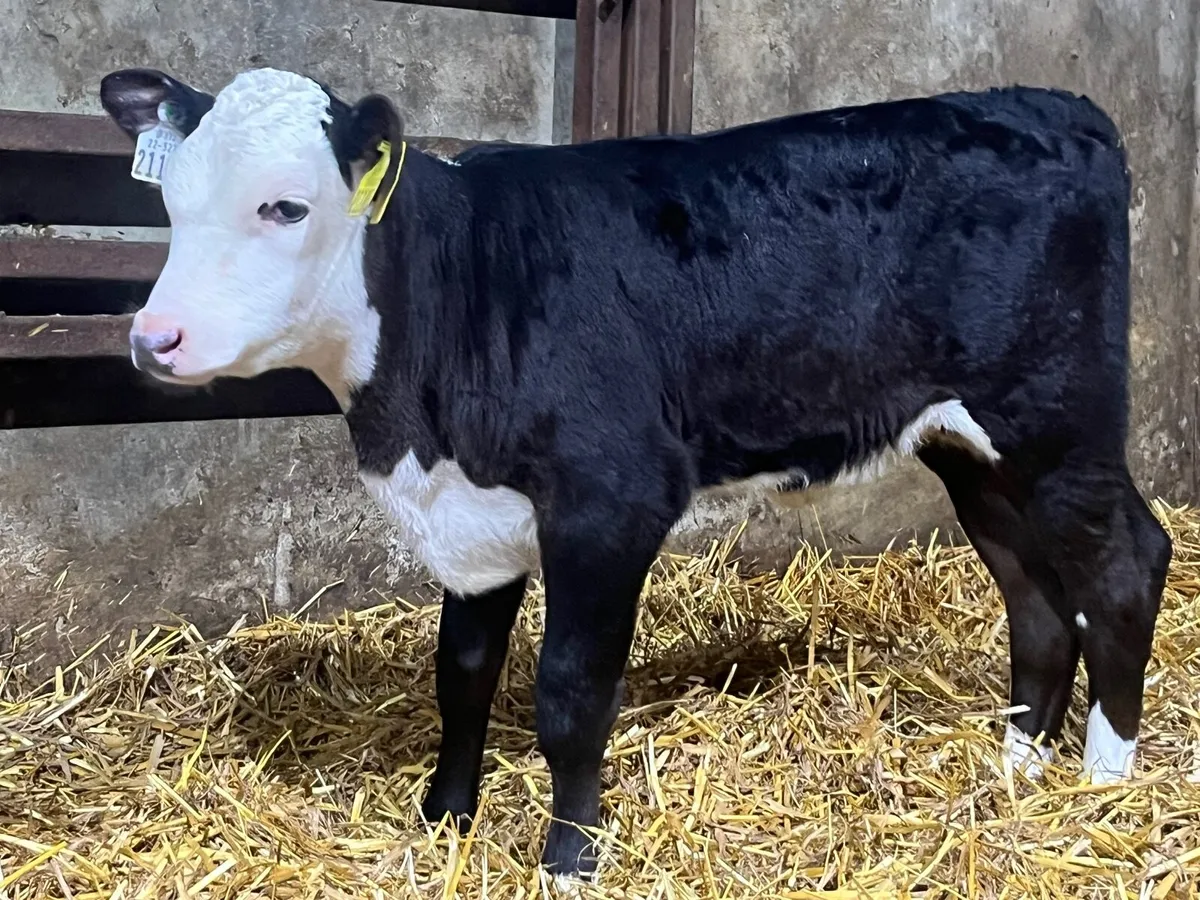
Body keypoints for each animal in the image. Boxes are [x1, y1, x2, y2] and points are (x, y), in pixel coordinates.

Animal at [99, 66, 1171, 880]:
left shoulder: (609, 500)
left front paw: (568, 858)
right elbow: (462, 674)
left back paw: (1105, 785)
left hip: (1056, 417)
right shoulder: (472, 518)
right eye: (170, 201)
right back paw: (1016, 769)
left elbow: (572, 696)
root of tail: (1053, 103)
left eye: (286, 206)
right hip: (971, 448)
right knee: (1036, 596)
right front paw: (445, 821)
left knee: (1126, 563)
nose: (155, 338)